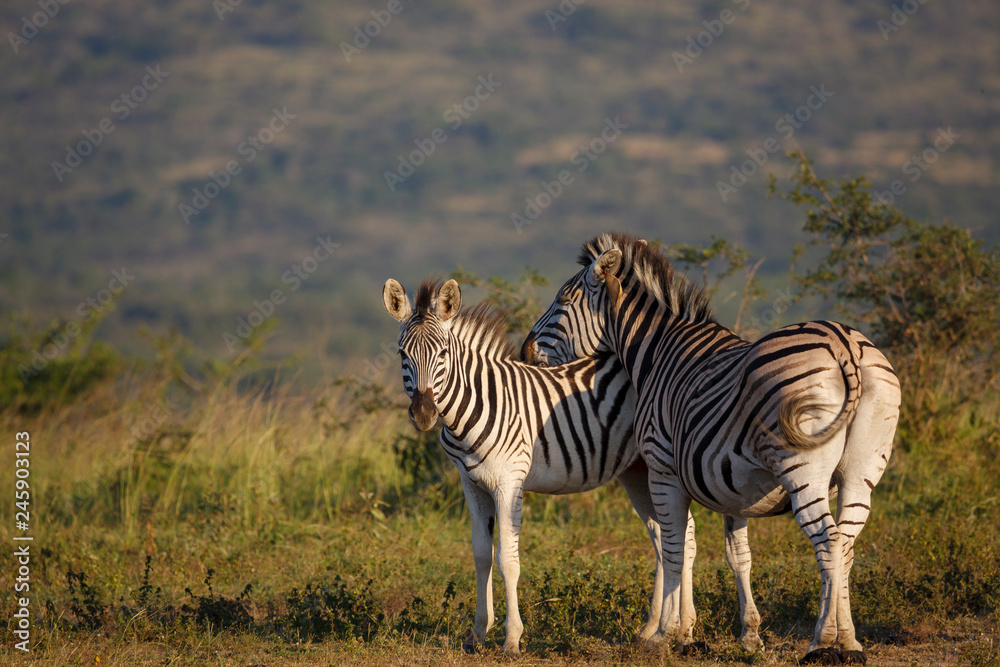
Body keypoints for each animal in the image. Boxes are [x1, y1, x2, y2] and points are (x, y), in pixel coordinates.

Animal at [383, 276, 682, 654]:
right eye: (402, 355)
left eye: (443, 354)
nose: (423, 415)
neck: (473, 407)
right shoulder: (471, 484)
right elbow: (481, 555)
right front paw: (477, 633)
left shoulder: (508, 482)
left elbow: (507, 560)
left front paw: (512, 639)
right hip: (637, 471)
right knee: (663, 537)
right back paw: (653, 628)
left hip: (662, 466)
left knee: (682, 535)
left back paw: (677, 629)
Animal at [520, 232, 901, 663]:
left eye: (561, 302)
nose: (525, 351)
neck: (656, 354)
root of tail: (845, 344)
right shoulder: (733, 483)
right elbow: (738, 556)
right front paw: (748, 636)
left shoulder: (663, 469)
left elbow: (672, 548)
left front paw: (665, 635)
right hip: (862, 469)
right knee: (848, 543)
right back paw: (850, 641)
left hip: (803, 468)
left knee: (829, 540)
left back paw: (822, 640)